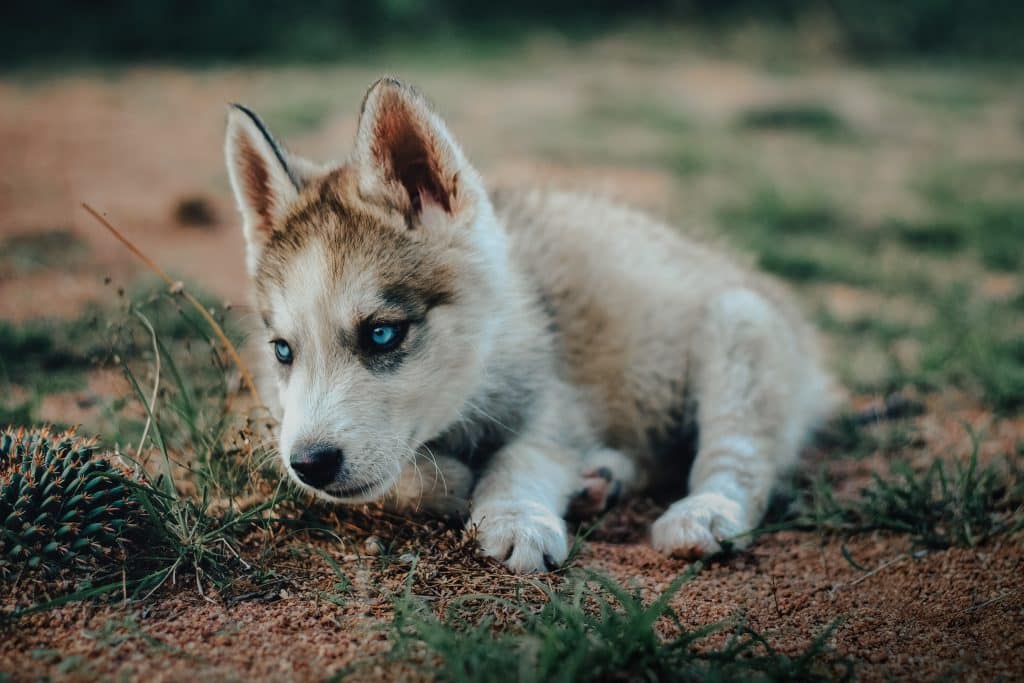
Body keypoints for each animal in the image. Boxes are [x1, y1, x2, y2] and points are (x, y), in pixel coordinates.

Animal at [228, 78, 835, 573]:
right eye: (283, 351)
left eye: (381, 333)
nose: (311, 464)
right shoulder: (279, 421)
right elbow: (392, 480)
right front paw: (450, 482)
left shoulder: (558, 403)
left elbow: (521, 456)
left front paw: (516, 516)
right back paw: (603, 479)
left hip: (740, 324)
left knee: (738, 455)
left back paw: (705, 512)